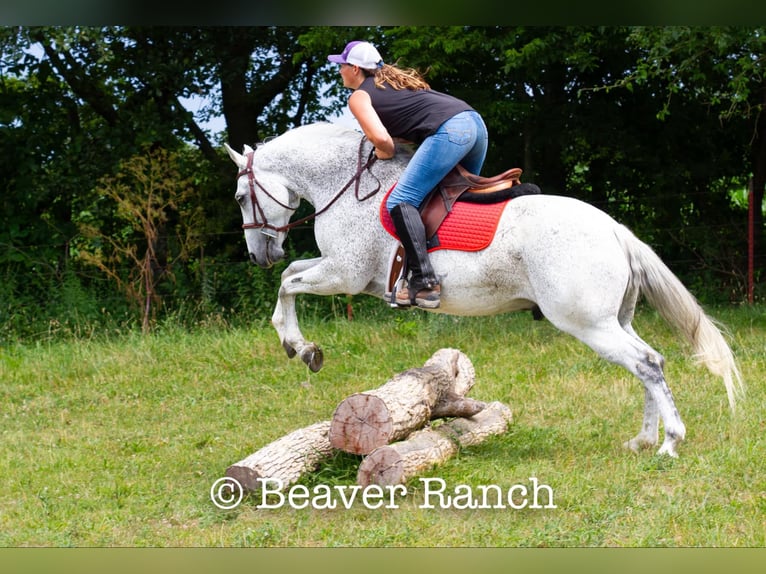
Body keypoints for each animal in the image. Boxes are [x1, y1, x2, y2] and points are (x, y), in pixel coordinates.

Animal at [224, 121, 743, 458]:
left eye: (240, 196)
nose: (257, 255)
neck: (347, 186)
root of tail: (616, 230)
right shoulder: (347, 275)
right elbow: (292, 273)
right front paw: (302, 346)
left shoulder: (344, 274)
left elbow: (287, 284)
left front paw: (299, 346)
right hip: (614, 320)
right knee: (650, 363)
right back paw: (644, 439)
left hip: (589, 324)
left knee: (647, 363)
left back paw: (669, 443)